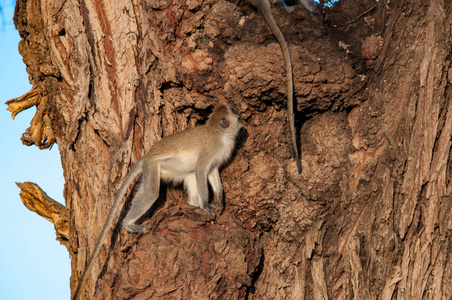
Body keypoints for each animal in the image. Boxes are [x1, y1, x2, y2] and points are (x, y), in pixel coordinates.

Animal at [73, 105, 244, 300]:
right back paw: (129, 223)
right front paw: (206, 205)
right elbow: (202, 170)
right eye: (235, 114)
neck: (220, 133)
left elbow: (212, 171)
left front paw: (220, 201)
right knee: (152, 193)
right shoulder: (211, 149)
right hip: (152, 166)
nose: (240, 116)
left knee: (187, 173)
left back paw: (193, 203)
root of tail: (149, 154)